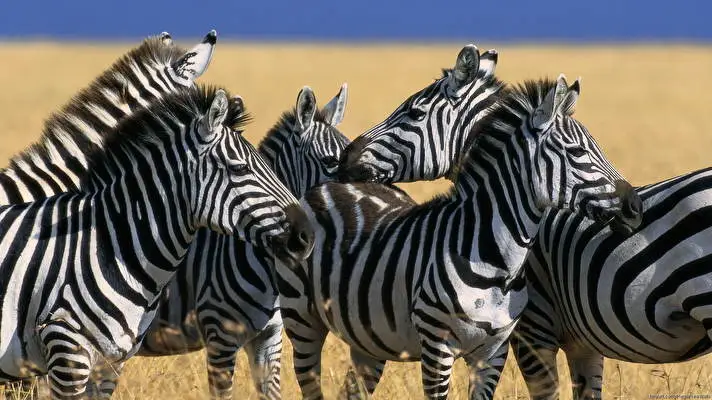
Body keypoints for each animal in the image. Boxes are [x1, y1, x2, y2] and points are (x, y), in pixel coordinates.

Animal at [279, 73, 642, 399]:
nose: (635, 206)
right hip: (302, 319)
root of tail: (326, 185)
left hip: (367, 335)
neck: (496, 261)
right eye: (578, 152)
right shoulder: (438, 345)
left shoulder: (494, 351)